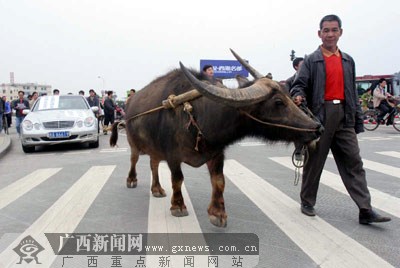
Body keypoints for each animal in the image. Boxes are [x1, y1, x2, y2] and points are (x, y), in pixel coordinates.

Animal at [110, 49, 322, 226]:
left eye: (289, 95)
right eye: (278, 102)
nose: (317, 128)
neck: (198, 116)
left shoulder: (216, 153)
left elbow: (219, 181)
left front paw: (218, 213)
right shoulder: (172, 156)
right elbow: (177, 179)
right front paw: (178, 206)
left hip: (155, 148)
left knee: (153, 164)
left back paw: (156, 189)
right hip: (133, 143)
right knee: (134, 159)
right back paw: (132, 180)